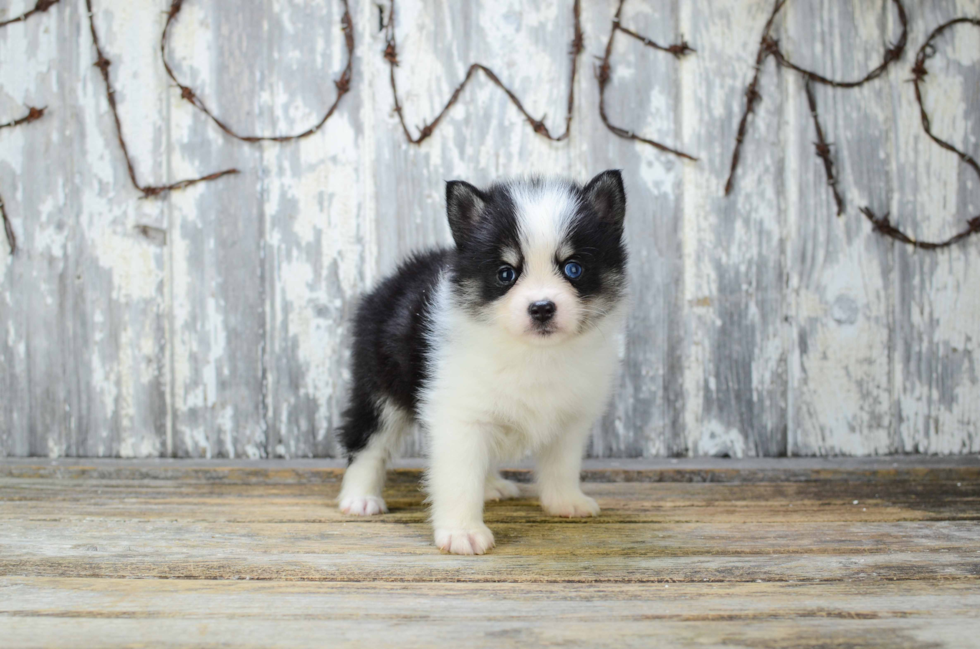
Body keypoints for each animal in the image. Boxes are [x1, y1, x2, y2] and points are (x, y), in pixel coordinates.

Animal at [336, 170, 628, 556]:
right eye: (506, 274)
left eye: (574, 268)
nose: (542, 308)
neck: (534, 353)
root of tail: (392, 281)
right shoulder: (460, 416)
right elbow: (459, 478)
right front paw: (462, 533)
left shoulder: (570, 417)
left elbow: (562, 464)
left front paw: (565, 501)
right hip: (380, 384)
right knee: (368, 440)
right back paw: (359, 497)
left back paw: (491, 486)